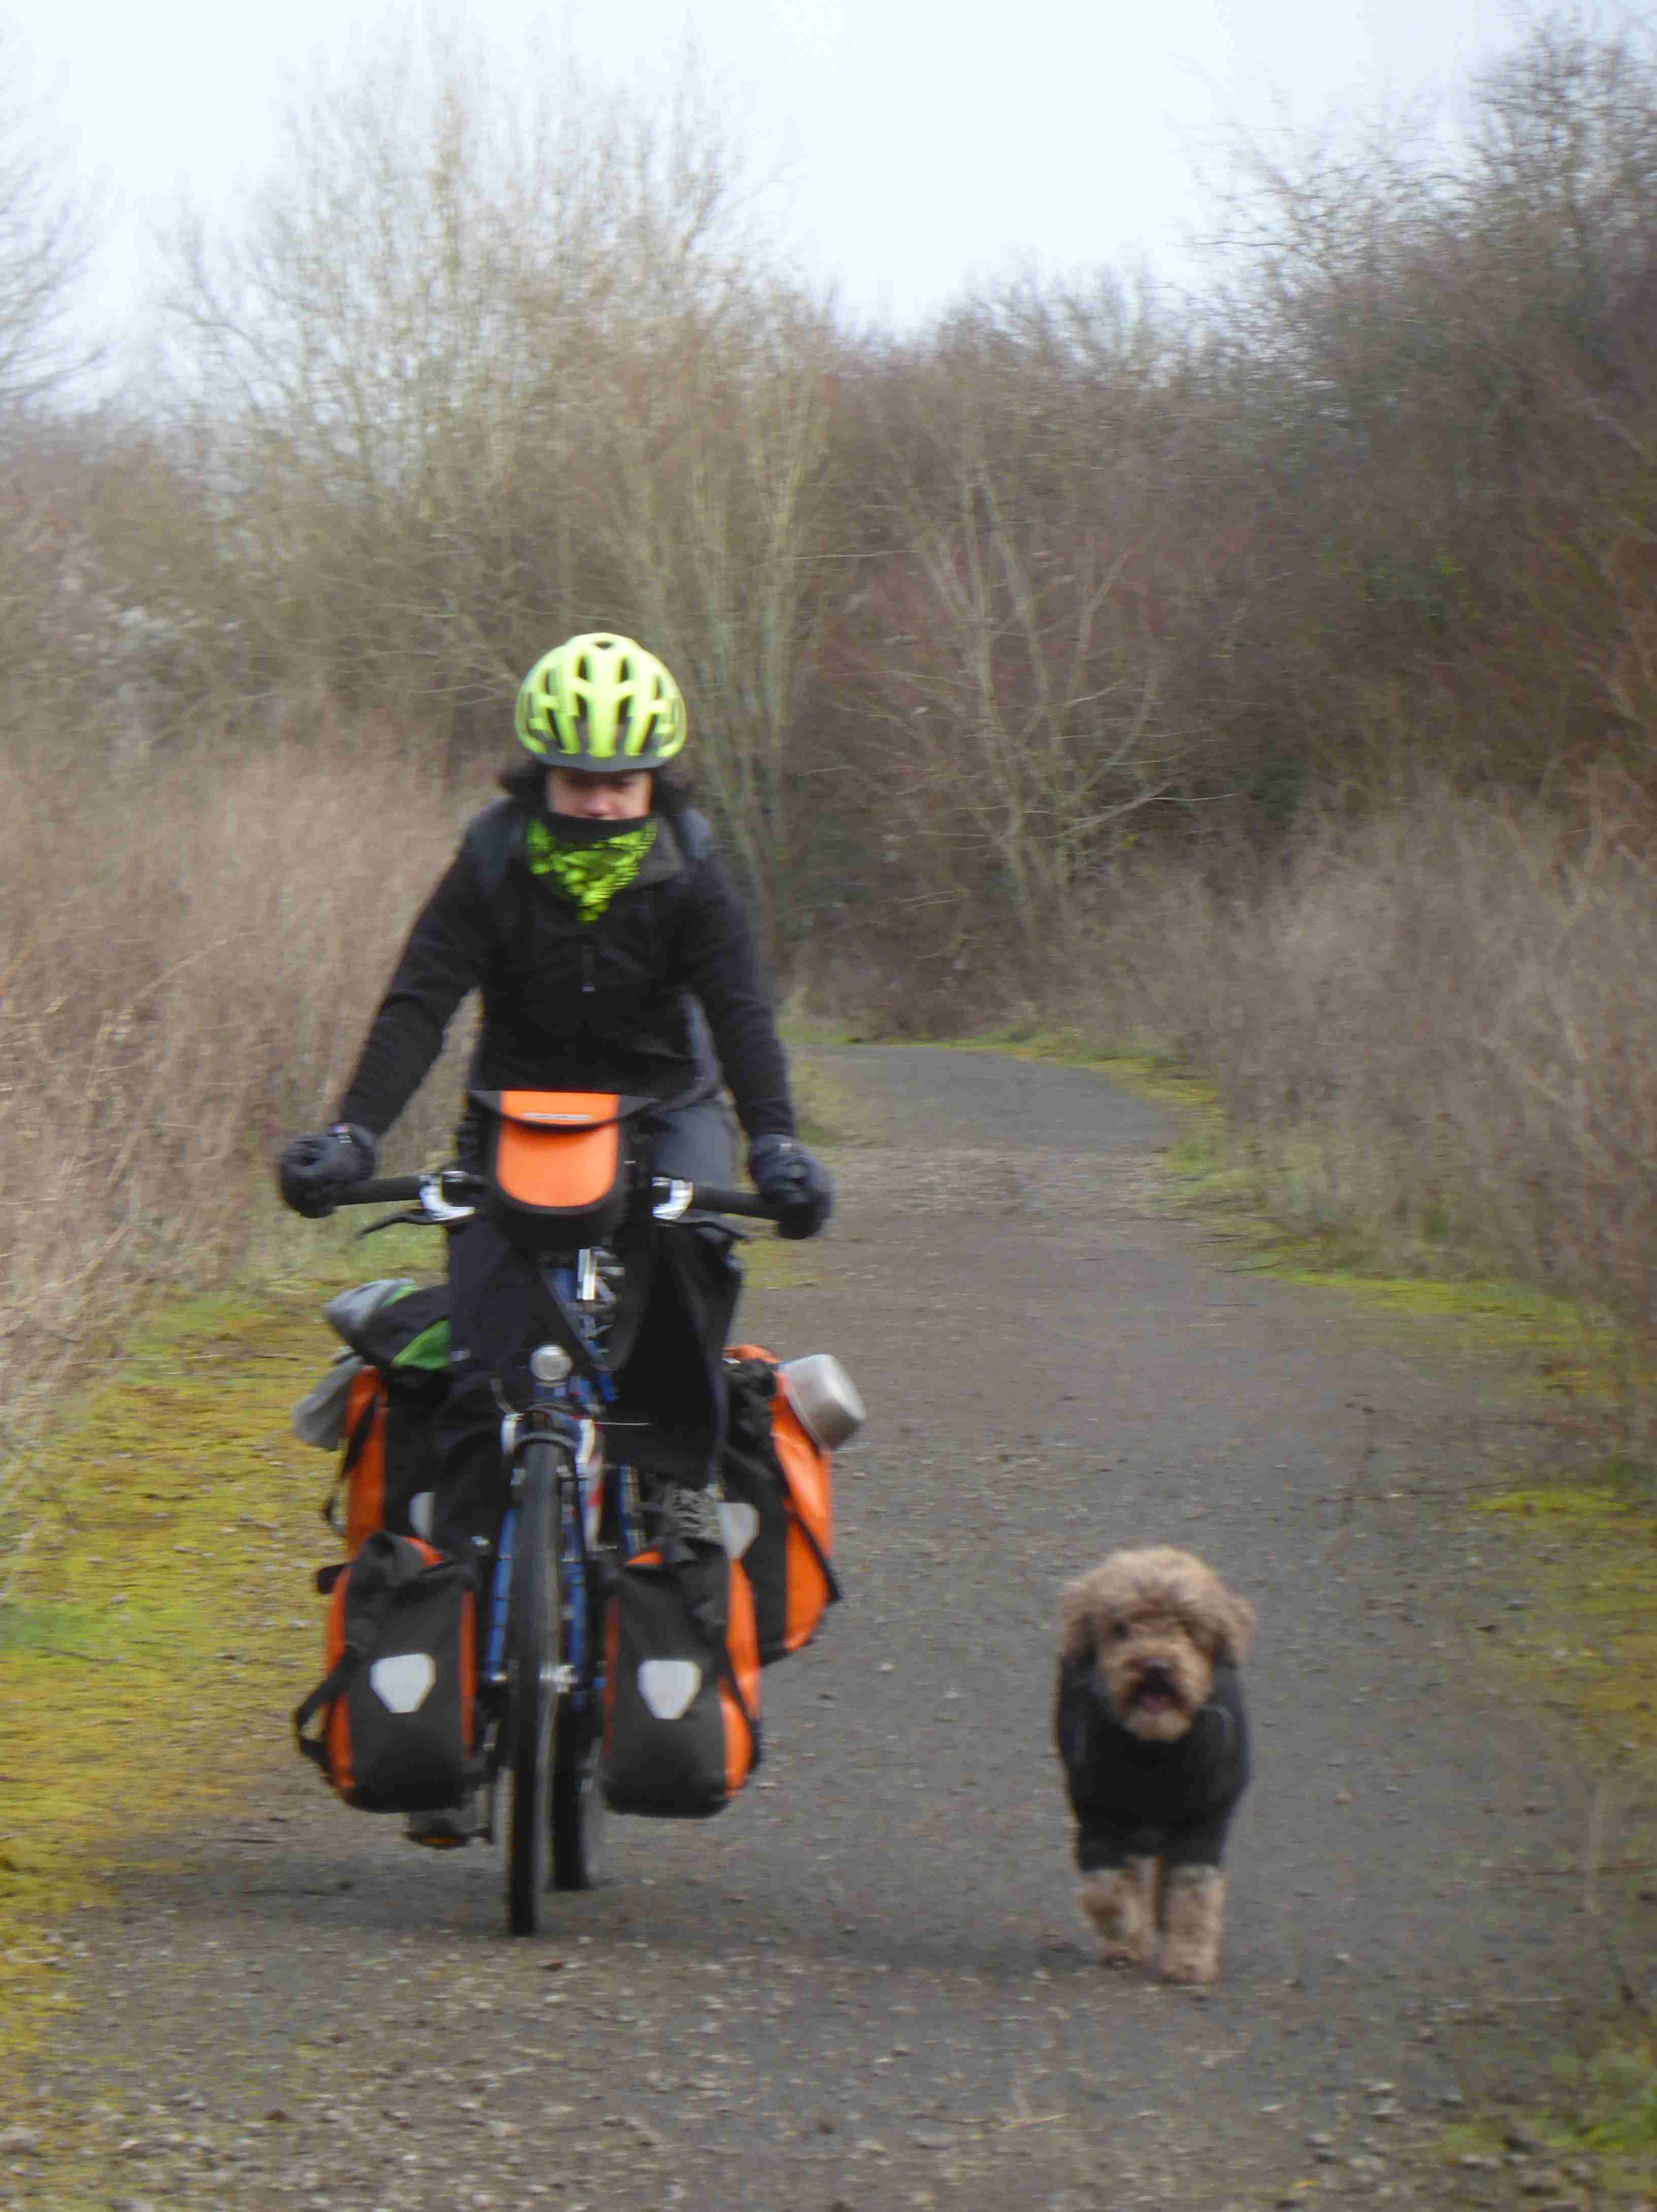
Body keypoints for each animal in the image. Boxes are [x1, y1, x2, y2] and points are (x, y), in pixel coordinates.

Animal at [1062, 1539, 1256, 1991]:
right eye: (1122, 1628)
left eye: (1185, 1626)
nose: (1155, 1666)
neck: (1155, 1748)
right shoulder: (1099, 1819)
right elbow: (1106, 1888)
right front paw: (1125, 1931)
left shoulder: (1203, 1826)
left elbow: (1194, 1896)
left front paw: (1188, 1961)